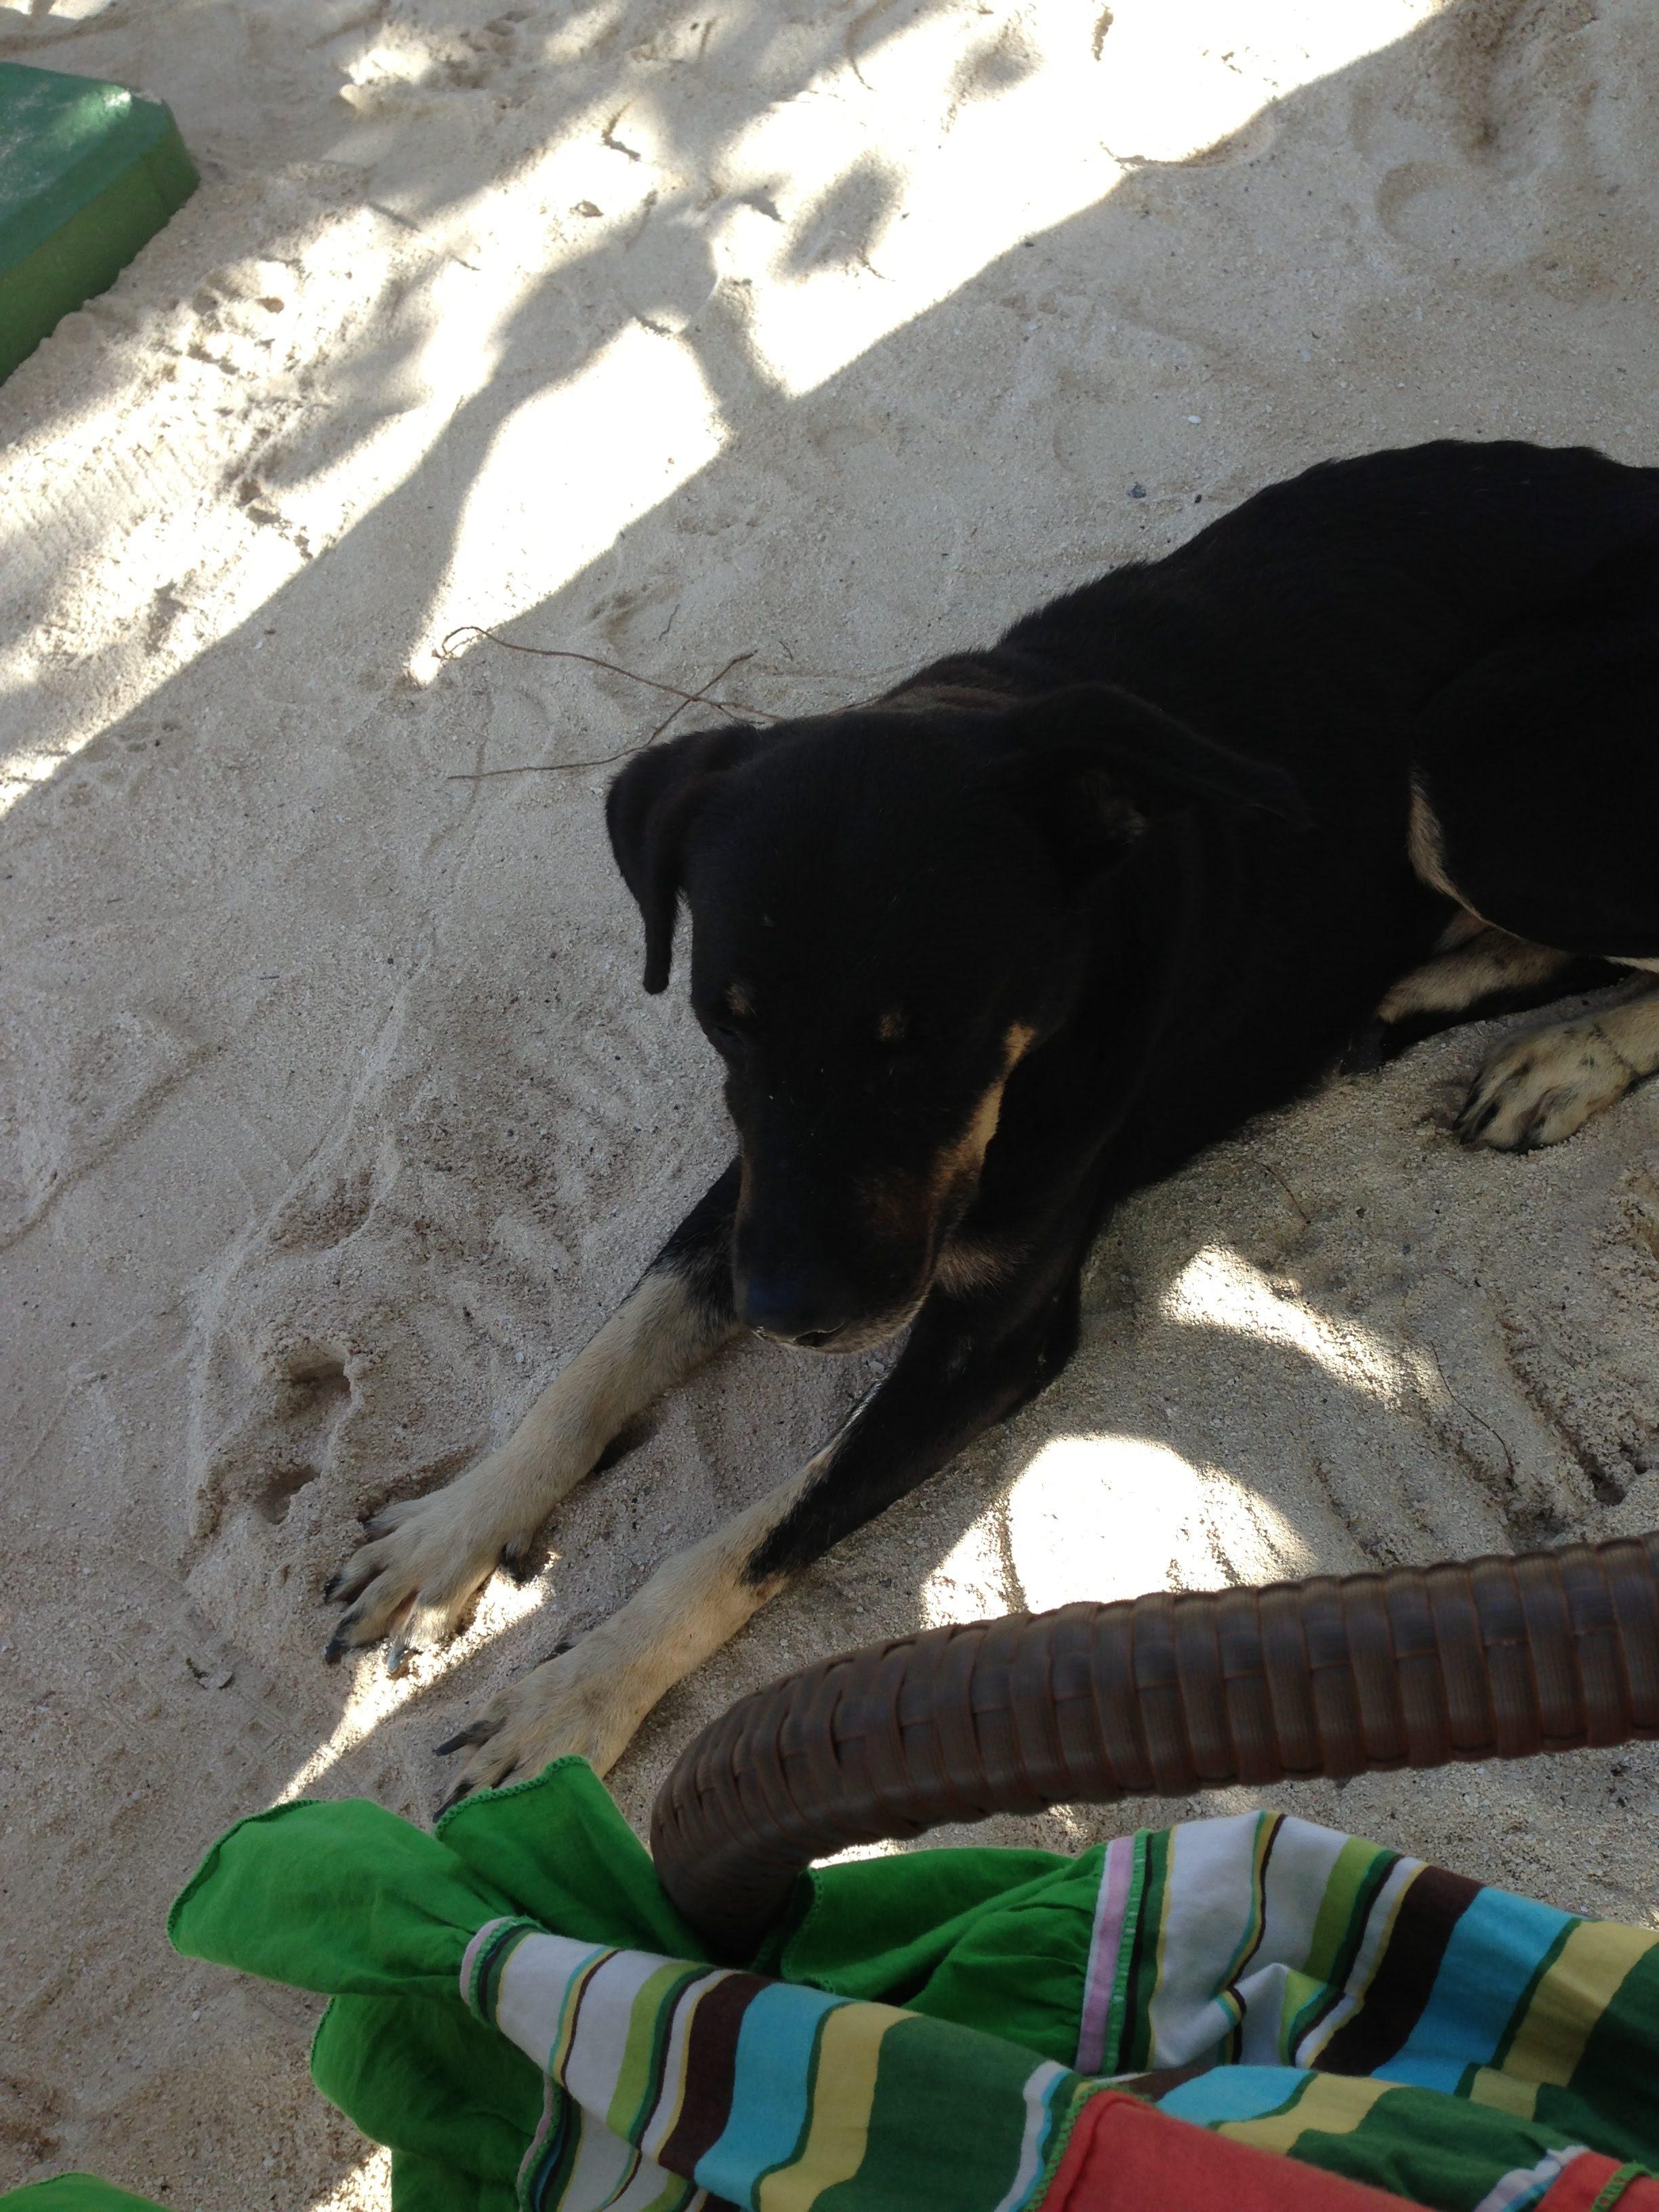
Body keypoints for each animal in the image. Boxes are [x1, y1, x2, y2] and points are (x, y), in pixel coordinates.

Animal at [324, 439, 1659, 1804]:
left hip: (1472, 772)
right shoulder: (756, 1185)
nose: (787, 1314)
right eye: (724, 1019)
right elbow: (598, 1359)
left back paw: (1562, 1052)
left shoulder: (989, 1331)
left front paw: (576, 1690)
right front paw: (451, 1530)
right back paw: (1431, 990)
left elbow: (753, 1529)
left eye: (932, 1037)